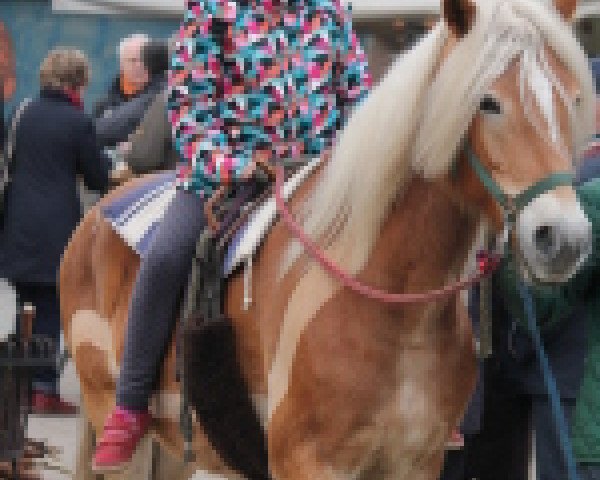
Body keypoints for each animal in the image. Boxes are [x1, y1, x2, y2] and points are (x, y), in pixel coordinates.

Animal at [57, 1, 596, 478]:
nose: (562, 237)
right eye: (488, 101)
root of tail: (99, 211)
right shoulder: (306, 461)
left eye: (573, 99)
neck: (393, 304)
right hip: (113, 416)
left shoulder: (415, 462)